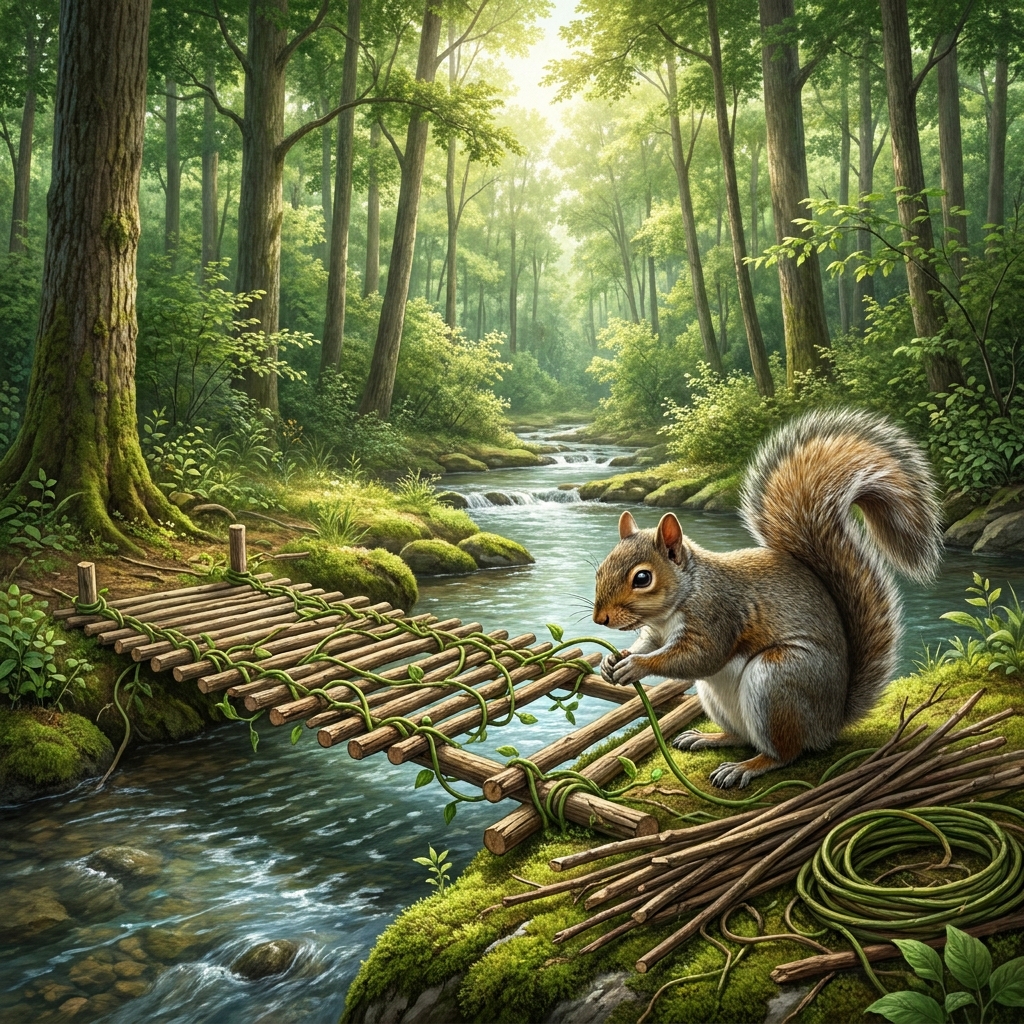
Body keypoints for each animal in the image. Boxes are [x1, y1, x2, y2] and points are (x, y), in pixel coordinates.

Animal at [592, 409, 942, 789]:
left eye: (642, 578)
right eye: (601, 569)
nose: (600, 619)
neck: (680, 600)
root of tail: (831, 722)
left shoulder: (717, 613)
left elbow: (699, 657)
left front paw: (636, 666)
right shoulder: (657, 631)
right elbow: (648, 644)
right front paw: (614, 661)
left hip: (778, 680)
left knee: (785, 753)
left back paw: (746, 767)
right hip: (720, 700)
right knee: (742, 737)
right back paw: (708, 738)